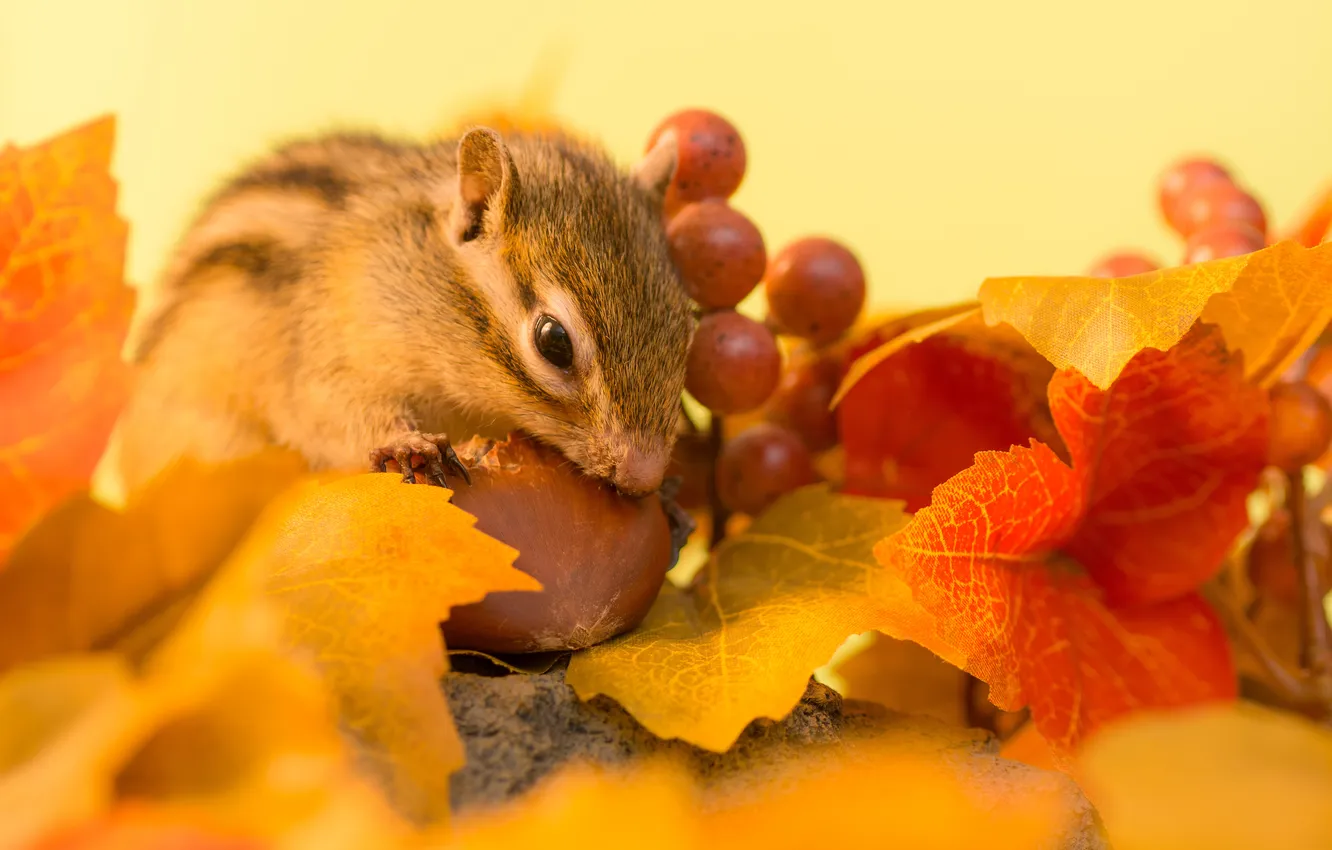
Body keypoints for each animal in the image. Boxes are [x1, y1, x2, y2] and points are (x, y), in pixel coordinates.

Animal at [114, 124, 695, 500]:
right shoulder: (325, 351)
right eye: (554, 342)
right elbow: (328, 412)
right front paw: (407, 442)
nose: (644, 475)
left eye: (687, 326)